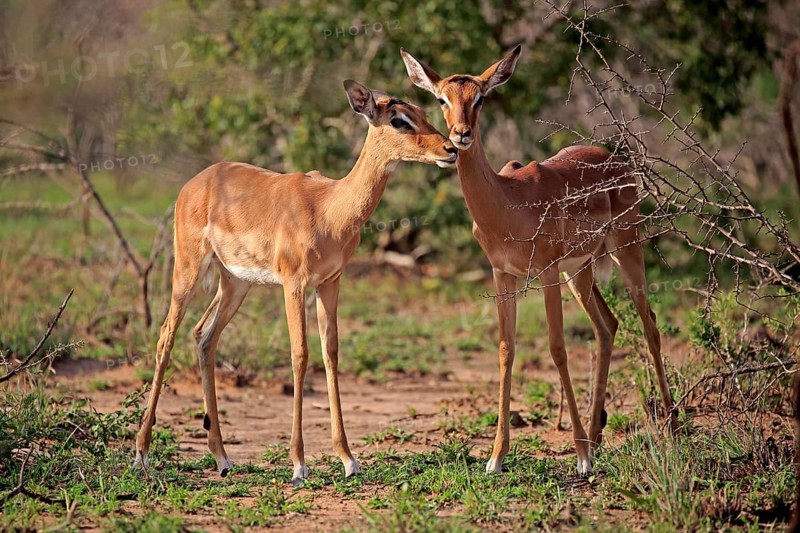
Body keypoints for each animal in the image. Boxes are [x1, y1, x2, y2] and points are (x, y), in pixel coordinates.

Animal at [133, 80, 457, 484]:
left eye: (425, 113)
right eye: (399, 120)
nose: (450, 149)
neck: (330, 208)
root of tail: (197, 182)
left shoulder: (330, 283)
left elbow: (330, 353)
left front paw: (348, 459)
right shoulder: (294, 284)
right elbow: (300, 354)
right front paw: (299, 464)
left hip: (235, 284)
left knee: (205, 337)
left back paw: (222, 458)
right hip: (188, 272)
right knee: (166, 336)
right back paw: (142, 455)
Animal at [401, 46, 674, 476]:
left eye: (480, 98)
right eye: (442, 99)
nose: (460, 135)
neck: (506, 202)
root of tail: (615, 159)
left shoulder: (544, 272)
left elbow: (557, 348)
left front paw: (580, 458)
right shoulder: (503, 275)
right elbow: (505, 350)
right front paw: (496, 457)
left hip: (625, 250)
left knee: (649, 325)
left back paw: (671, 429)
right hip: (579, 271)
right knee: (607, 326)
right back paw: (597, 436)